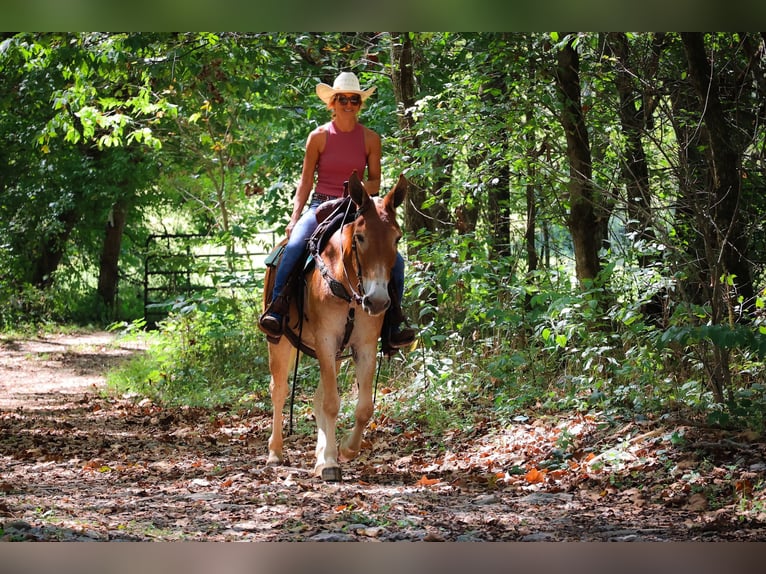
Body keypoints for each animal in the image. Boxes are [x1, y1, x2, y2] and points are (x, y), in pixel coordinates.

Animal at [262, 170, 408, 481]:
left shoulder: (363, 346)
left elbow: (363, 408)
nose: (378, 300)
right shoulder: (326, 340)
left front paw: (345, 450)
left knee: (317, 398)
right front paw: (330, 463)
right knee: (279, 390)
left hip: (336, 354)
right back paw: (275, 453)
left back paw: (319, 456)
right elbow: (331, 403)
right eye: (360, 237)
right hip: (280, 341)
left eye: (397, 238)